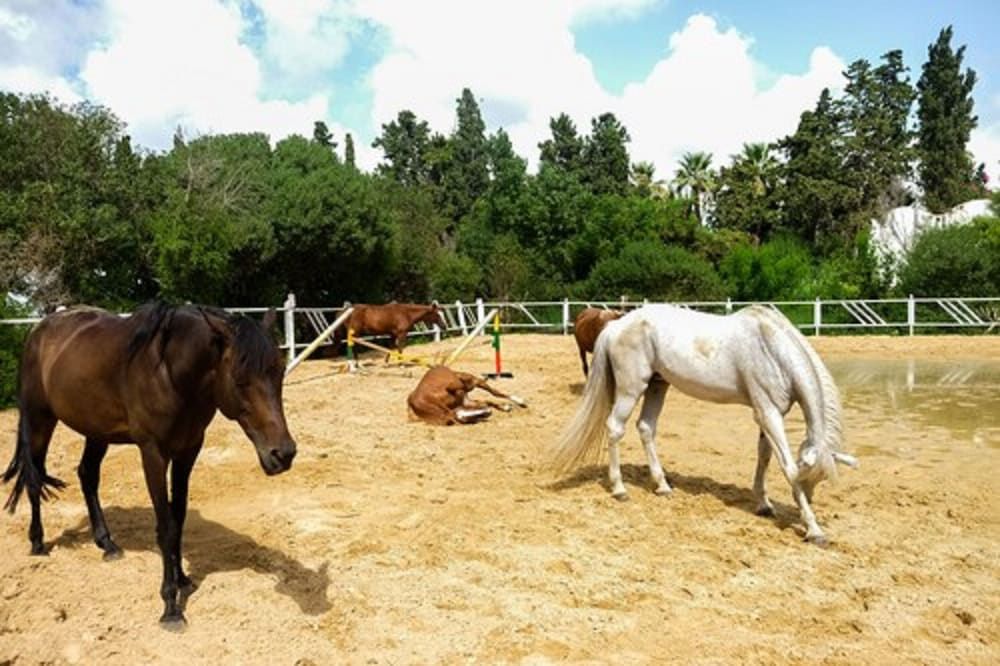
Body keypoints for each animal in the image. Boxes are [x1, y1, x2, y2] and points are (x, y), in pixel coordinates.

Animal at [2, 303, 297, 628]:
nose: (283, 454)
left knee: (87, 475)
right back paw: (38, 543)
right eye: (240, 379)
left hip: (96, 431)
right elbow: (165, 525)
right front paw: (170, 606)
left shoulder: (188, 451)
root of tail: (39, 329)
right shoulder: (153, 453)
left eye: (279, 372)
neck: (169, 373)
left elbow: (178, 518)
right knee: (34, 478)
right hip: (38, 418)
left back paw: (107, 544)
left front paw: (182, 579)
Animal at [550, 304, 858, 546]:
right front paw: (813, 529)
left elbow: (764, 456)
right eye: (808, 479)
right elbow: (786, 466)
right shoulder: (769, 413)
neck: (772, 348)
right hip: (631, 388)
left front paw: (764, 504)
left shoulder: (767, 414)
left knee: (646, 427)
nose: (809, 501)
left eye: (820, 479)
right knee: (615, 428)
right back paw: (619, 489)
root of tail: (615, 325)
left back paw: (662, 485)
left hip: (657, 386)